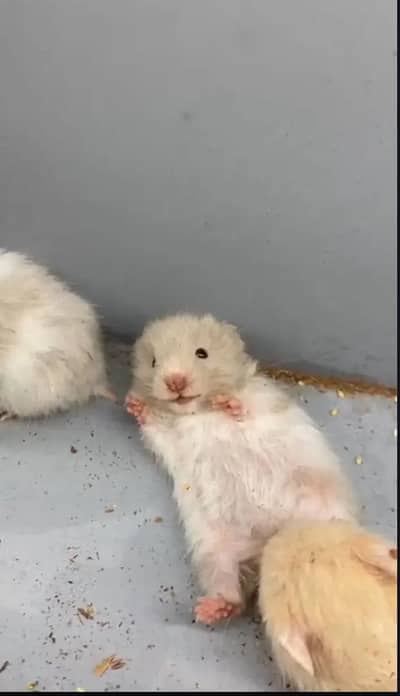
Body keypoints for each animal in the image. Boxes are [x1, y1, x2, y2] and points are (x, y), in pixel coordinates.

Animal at [126, 313, 356, 624]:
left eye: (202, 353)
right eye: (153, 362)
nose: (175, 381)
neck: (198, 411)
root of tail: (266, 543)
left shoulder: (263, 401)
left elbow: (244, 409)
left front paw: (227, 403)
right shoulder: (171, 444)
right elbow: (157, 428)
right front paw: (134, 404)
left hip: (321, 504)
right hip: (214, 550)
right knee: (233, 594)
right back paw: (209, 610)